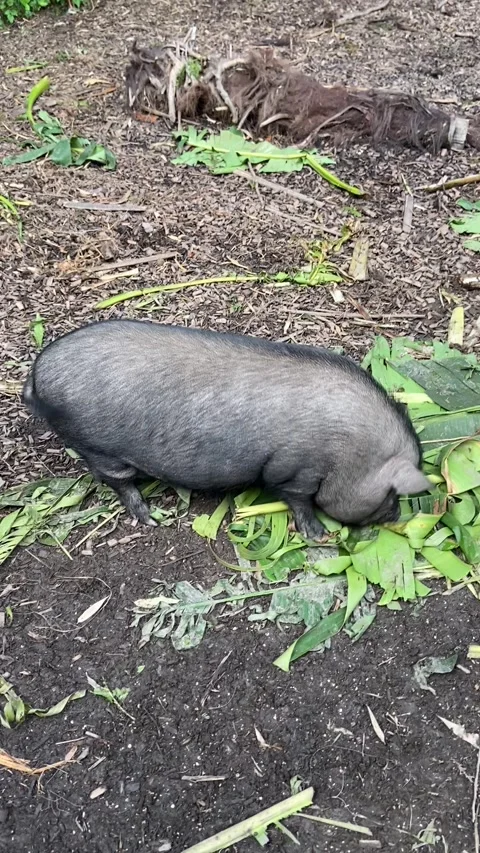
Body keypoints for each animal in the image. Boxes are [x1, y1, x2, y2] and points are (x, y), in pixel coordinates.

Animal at [22, 320, 430, 541]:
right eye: (392, 495)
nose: (398, 516)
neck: (350, 454)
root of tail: (37, 376)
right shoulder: (294, 468)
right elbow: (297, 499)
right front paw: (318, 535)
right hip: (97, 447)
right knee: (116, 480)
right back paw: (149, 517)